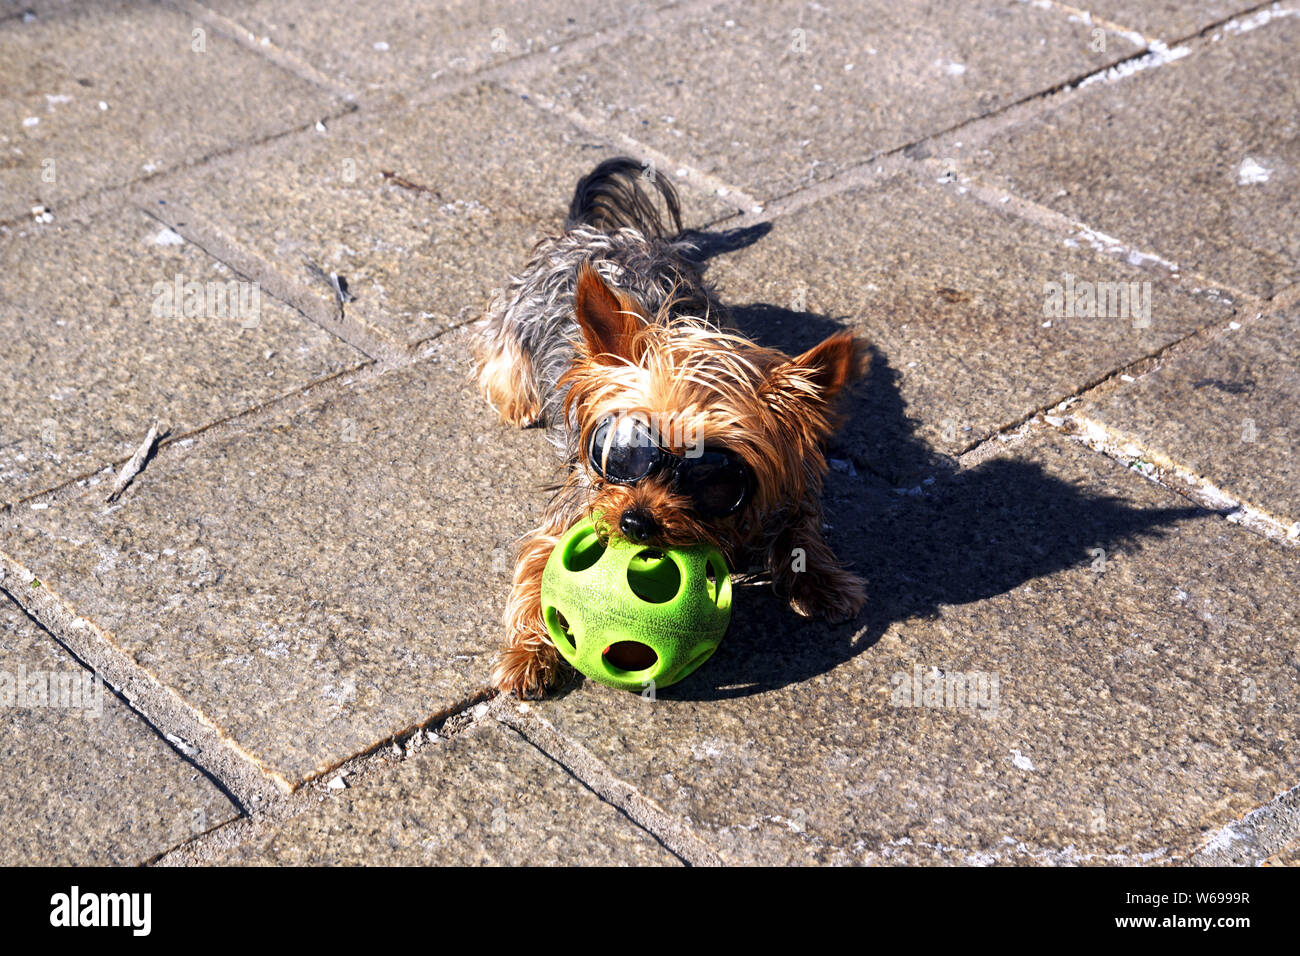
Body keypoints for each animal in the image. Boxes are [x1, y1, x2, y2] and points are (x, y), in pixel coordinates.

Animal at [475, 155, 863, 697]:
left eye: (714, 477)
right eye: (621, 451)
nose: (635, 522)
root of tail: (596, 231)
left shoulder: (785, 481)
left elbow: (800, 526)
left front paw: (823, 581)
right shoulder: (580, 504)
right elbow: (538, 570)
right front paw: (527, 656)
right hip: (512, 324)